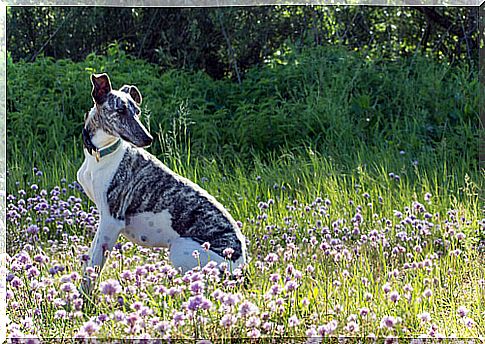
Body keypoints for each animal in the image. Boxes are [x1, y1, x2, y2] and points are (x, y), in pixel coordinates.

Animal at [78, 74, 250, 292]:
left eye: (137, 111)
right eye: (120, 111)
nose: (148, 138)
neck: (101, 154)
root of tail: (242, 267)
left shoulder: (111, 220)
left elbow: (92, 267)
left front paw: (84, 297)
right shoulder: (105, 222)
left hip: (181, 250)